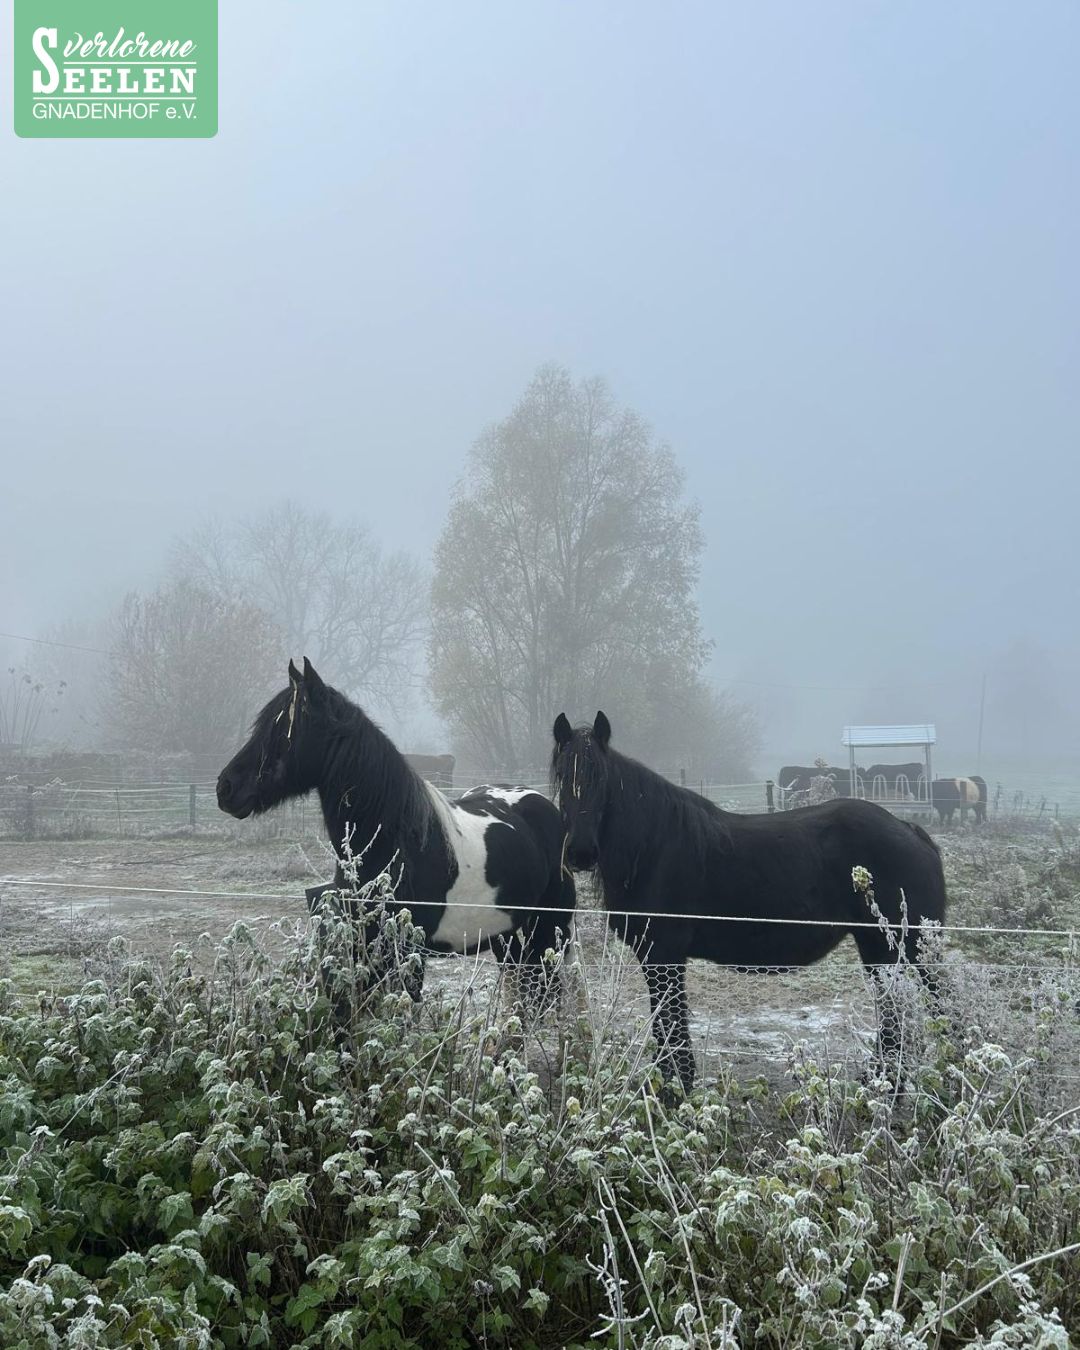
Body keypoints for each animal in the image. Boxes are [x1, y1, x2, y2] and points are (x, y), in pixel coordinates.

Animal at [217, 658, 575, 1009]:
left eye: (283, 729)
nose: (226, 787)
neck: (397, 846)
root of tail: (544, 805)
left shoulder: (406, 954)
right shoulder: (365, 950)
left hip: (546, 934)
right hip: (510, 939)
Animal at [553, 711, 947, 1093]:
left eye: (602, 780)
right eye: (560, 777)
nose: (581, 852)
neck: (653, 847)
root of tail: (909, 830)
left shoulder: (664, 955)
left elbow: (671, 1025)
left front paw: (676, 1086)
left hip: (911, 948)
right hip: (878, 947)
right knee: (894, 1015)